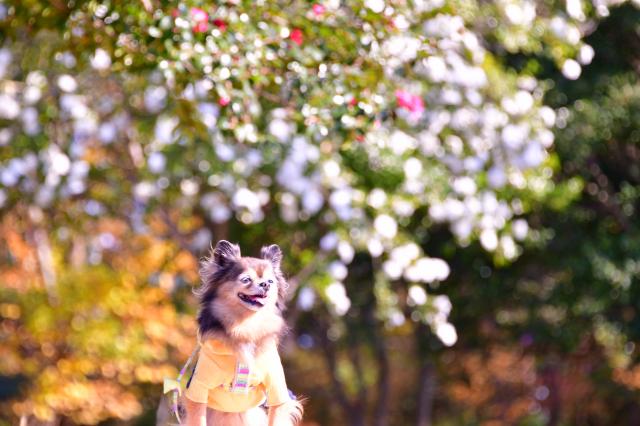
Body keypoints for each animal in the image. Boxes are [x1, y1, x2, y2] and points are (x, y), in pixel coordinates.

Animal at [167, 240, 303, 426]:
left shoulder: (277, 390)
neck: (245, 326)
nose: (265, 285)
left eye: (271, 281)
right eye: (246, 280)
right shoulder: (198, 389)